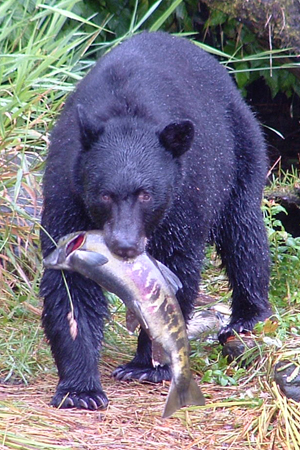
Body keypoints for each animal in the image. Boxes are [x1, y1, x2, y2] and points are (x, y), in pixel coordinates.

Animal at [40, 32, 272, 412]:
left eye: (146, 194)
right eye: (104, 194)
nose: (124, 245)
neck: (126, 113)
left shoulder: (183, 197)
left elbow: (177, 269)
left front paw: (147, 366)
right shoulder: (67, 191)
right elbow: (70, 289)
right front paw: (80, 389)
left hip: (242, 149)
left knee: (243, 232)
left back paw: (246, 316)